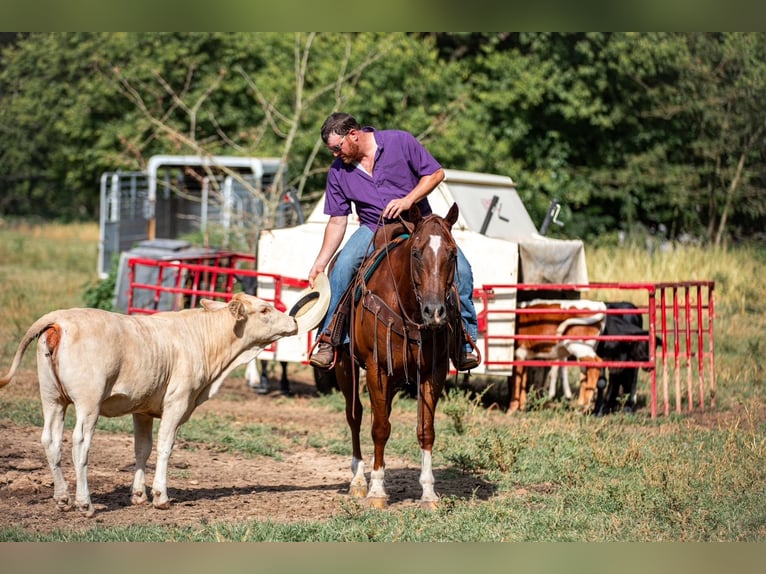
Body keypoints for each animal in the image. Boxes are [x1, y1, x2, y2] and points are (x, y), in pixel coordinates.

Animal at [333, 202, 466, 508]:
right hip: (346, 367)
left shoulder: (433, 371)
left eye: (452, 253)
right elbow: (380, 428)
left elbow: (425, 429)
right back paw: (358, 480)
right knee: (355, 416)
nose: (435, 312)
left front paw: (428, 493)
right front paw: (376, 491)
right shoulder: (377, 368)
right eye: (416, 252)